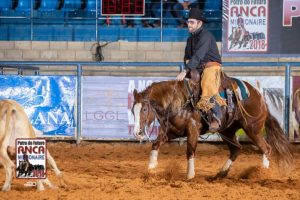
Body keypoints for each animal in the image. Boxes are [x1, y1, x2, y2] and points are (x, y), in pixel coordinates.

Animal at [132, 73, 294, 180]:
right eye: (133, 109)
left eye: (144, 109)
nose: (137, 133)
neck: (177, 101)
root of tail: (259, 96)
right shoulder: (172, 132)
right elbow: (155, 144)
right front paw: (151, 168)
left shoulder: (193, 131)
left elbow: (190, 151)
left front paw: (190, 175)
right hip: (227, 131)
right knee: (236, 149)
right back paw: (221, 173)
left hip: (252, 129)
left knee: (266, 148)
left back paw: (262, 173)